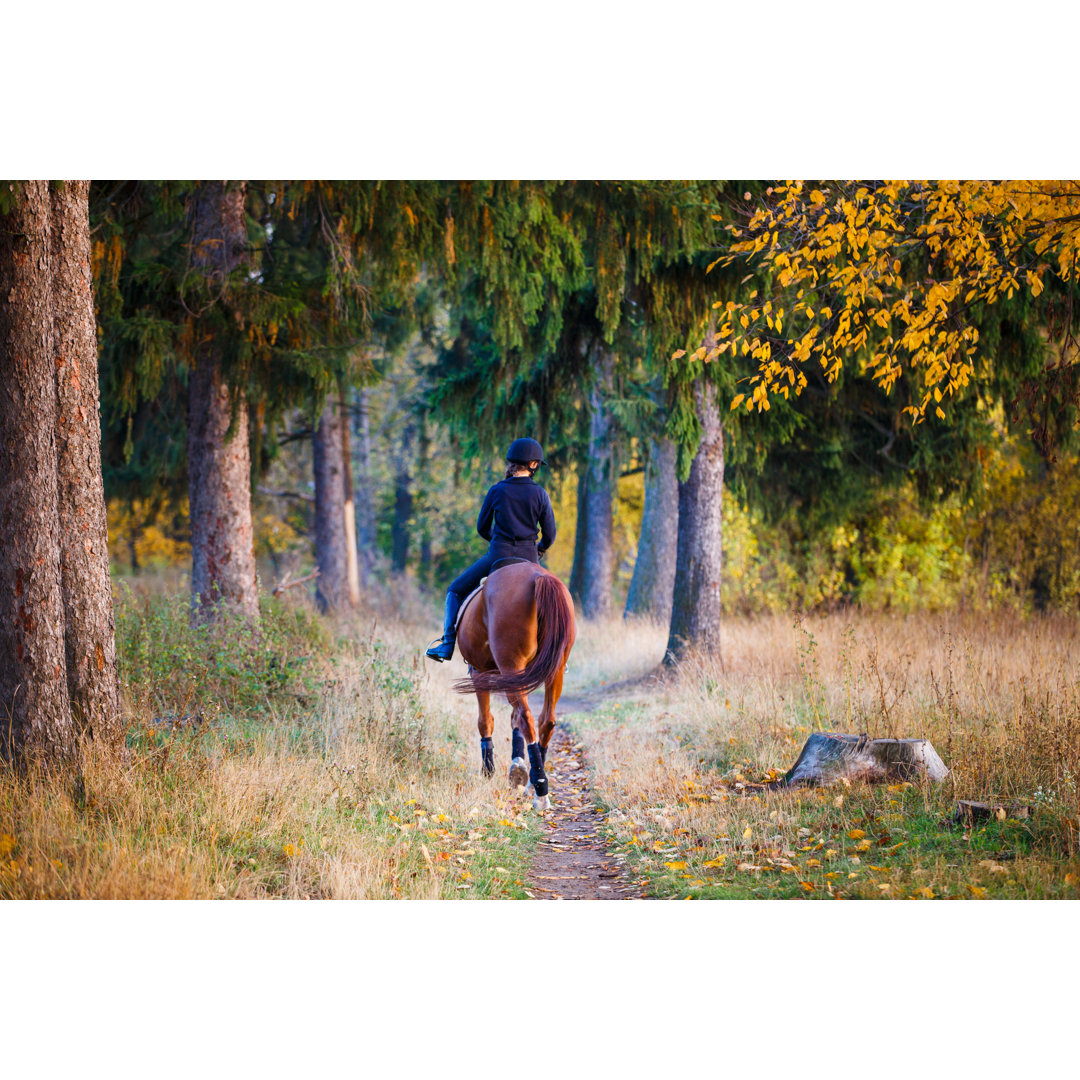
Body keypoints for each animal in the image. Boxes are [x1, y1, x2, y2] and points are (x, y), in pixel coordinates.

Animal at [453, 561, 578, 807]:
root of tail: (538, 576)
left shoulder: (479, 672)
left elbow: (485, 720)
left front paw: (488, 770)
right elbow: (512, 720)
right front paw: (517, 767)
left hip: (509, 664)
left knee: (526, 717)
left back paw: (540, 788)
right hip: (554, 669)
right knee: (545, 720)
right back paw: (533, 783)